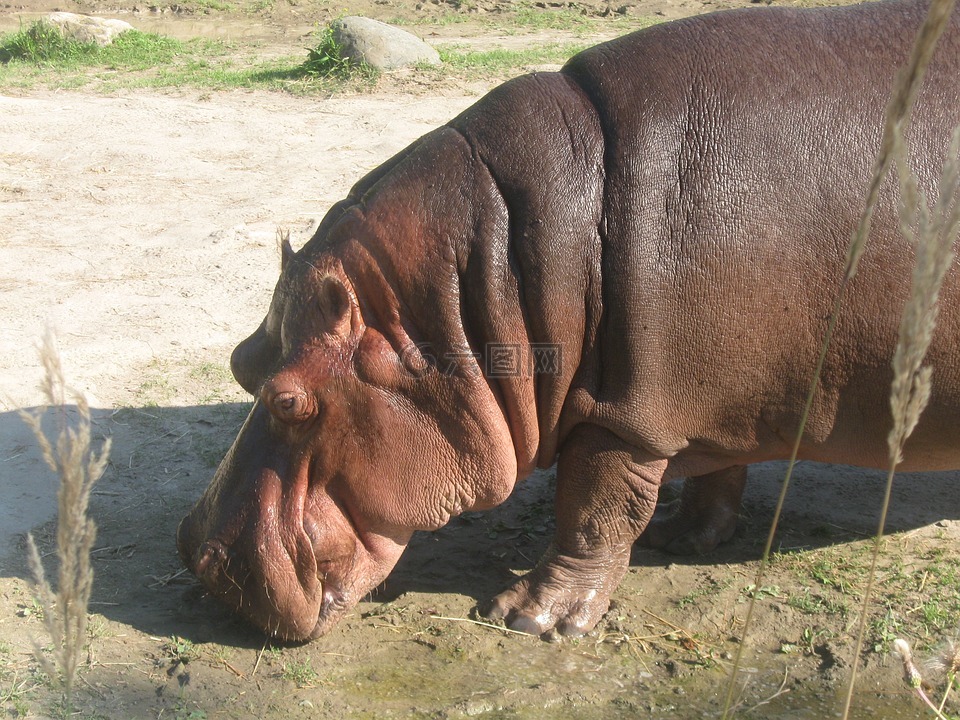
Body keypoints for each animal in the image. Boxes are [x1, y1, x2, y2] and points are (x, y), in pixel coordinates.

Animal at [176, 0, 960, 640]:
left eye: (290, 401)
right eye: (241, 362)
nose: (198, 558)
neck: (477, 294)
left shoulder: (630, 411)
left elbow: (594, 507)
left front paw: (527, 618)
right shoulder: (716, 393)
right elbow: (714, 470)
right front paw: (683, 538)